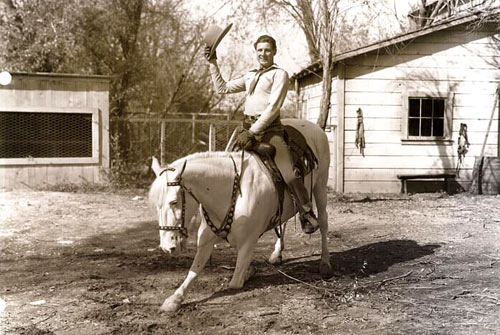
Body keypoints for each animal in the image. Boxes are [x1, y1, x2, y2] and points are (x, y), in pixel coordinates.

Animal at [150, 119, 334, 312]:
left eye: (174, 202)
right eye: (157, 205)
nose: (166, 247)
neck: (230, 190)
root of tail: (313, 127)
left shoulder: (248, 242)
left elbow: (235, 281)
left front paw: (248, 272)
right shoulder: (207, 238)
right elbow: (194, 270)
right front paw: (174, 299)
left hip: (320, 186)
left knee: (323, 222)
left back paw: (325, 263)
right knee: (284, 222)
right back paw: (277, 253)